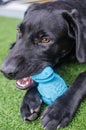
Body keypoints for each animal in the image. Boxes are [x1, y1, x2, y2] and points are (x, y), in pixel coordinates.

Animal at [0, 0, 86, 129]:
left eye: (45, 40)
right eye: (19, 31)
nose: (5, 71)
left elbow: (82, 77)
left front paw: (59, 110)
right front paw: (29, 100)